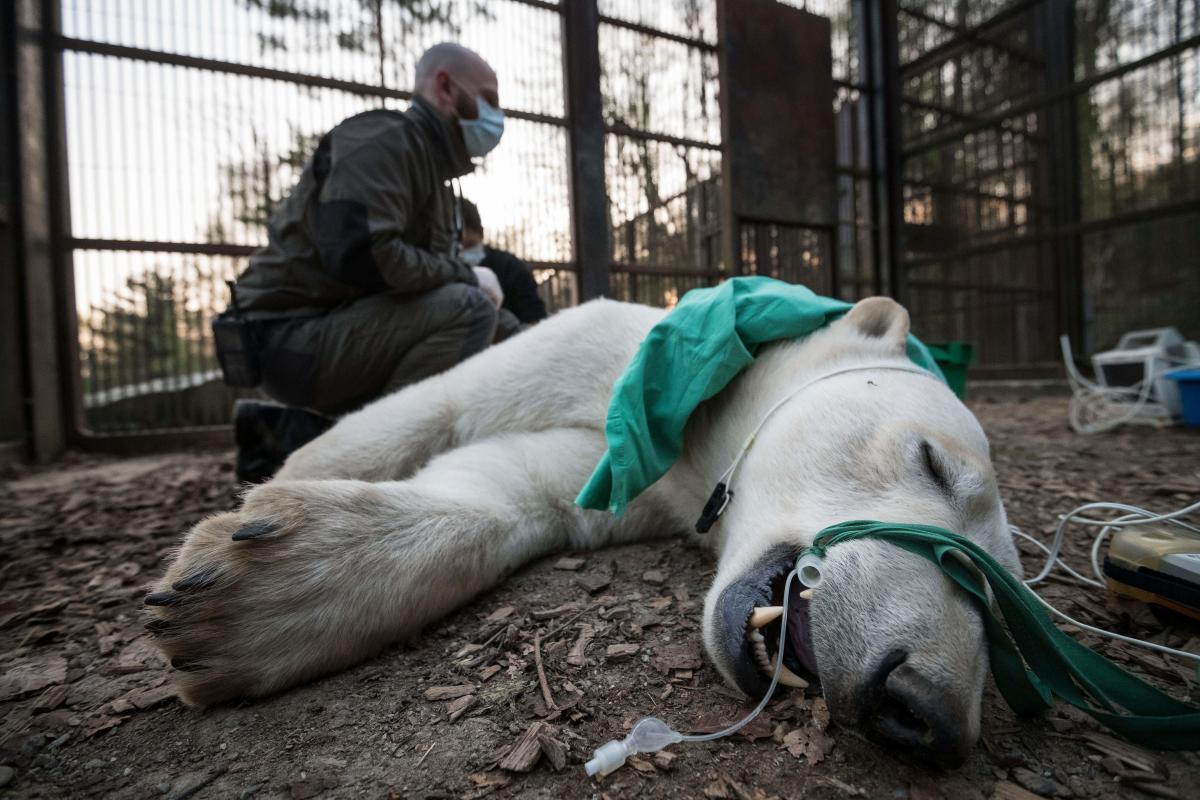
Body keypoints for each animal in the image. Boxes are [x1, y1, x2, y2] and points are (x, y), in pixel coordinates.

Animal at [142, 296, 1022, 767]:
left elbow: (521, 484)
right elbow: (447, 402)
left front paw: (242, 605)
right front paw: (271, 508)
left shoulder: (645, 483)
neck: (696, 431)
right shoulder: (619, 361)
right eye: (932, 463)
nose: (930, 710)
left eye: (998, 594)